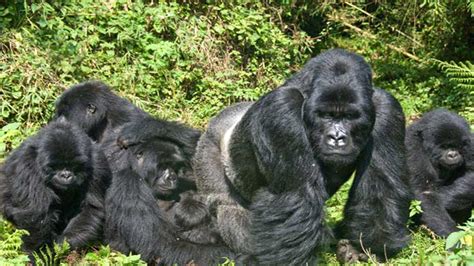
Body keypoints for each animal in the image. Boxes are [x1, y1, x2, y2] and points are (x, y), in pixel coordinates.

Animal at [0, 118, 111, 256]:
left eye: (74, 166)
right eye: (57, 166)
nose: (66, 175)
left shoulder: (98, 163)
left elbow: (90, 208)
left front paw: (62, 244)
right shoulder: (27, 163)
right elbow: (35, 214)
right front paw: (37, 254)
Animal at [103, 120, 232, 264]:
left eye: (175, 166)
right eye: (162, 166)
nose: (172, 177)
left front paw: (143, 128)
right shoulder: (127, 182)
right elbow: (161, 246)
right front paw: (237, 256)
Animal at [193, 48, 412, 264]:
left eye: (350, 116)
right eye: (326, 115)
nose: (337, 138)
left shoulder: (386, 108)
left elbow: (380, 187)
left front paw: (364, 248)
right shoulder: (281, 108)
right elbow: (296, 196)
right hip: (207, 148)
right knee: (227, 206)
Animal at [404, 108, 474, 237]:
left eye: (458, 146)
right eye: (444, 146)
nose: (453, 155)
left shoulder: (470, 143)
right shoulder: (412, 149)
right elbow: (425, 191)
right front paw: (453, 235)